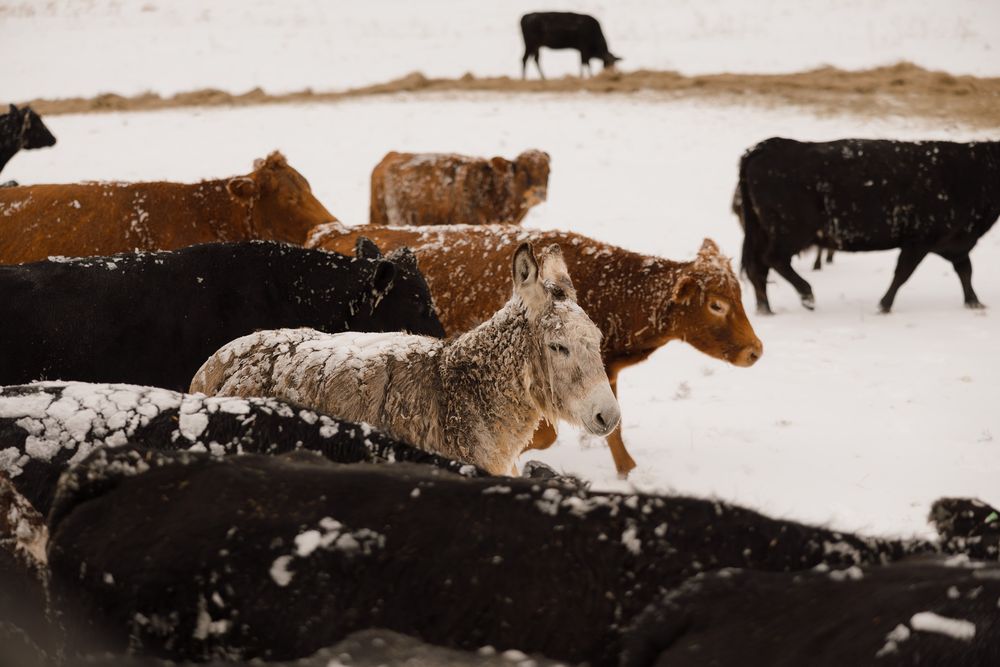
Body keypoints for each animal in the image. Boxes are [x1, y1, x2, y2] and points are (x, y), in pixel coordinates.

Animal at [306, 223, 763, 477]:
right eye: (716, 304)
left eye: (737, 296)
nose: (755, 351)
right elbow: (546, 436)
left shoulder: (604, 374)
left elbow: (613, 428)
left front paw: (627, 470)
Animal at [738, 138, 1000, 314]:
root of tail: (769, 146)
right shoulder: (919, 240)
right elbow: (903, 273)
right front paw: (884, 305)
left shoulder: (955, 242)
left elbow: (965, 271)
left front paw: (974, 302)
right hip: (792, 231)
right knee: (773, 260)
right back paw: (806, 295)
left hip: (763, 232)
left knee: (758, 268)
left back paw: (765, 308)